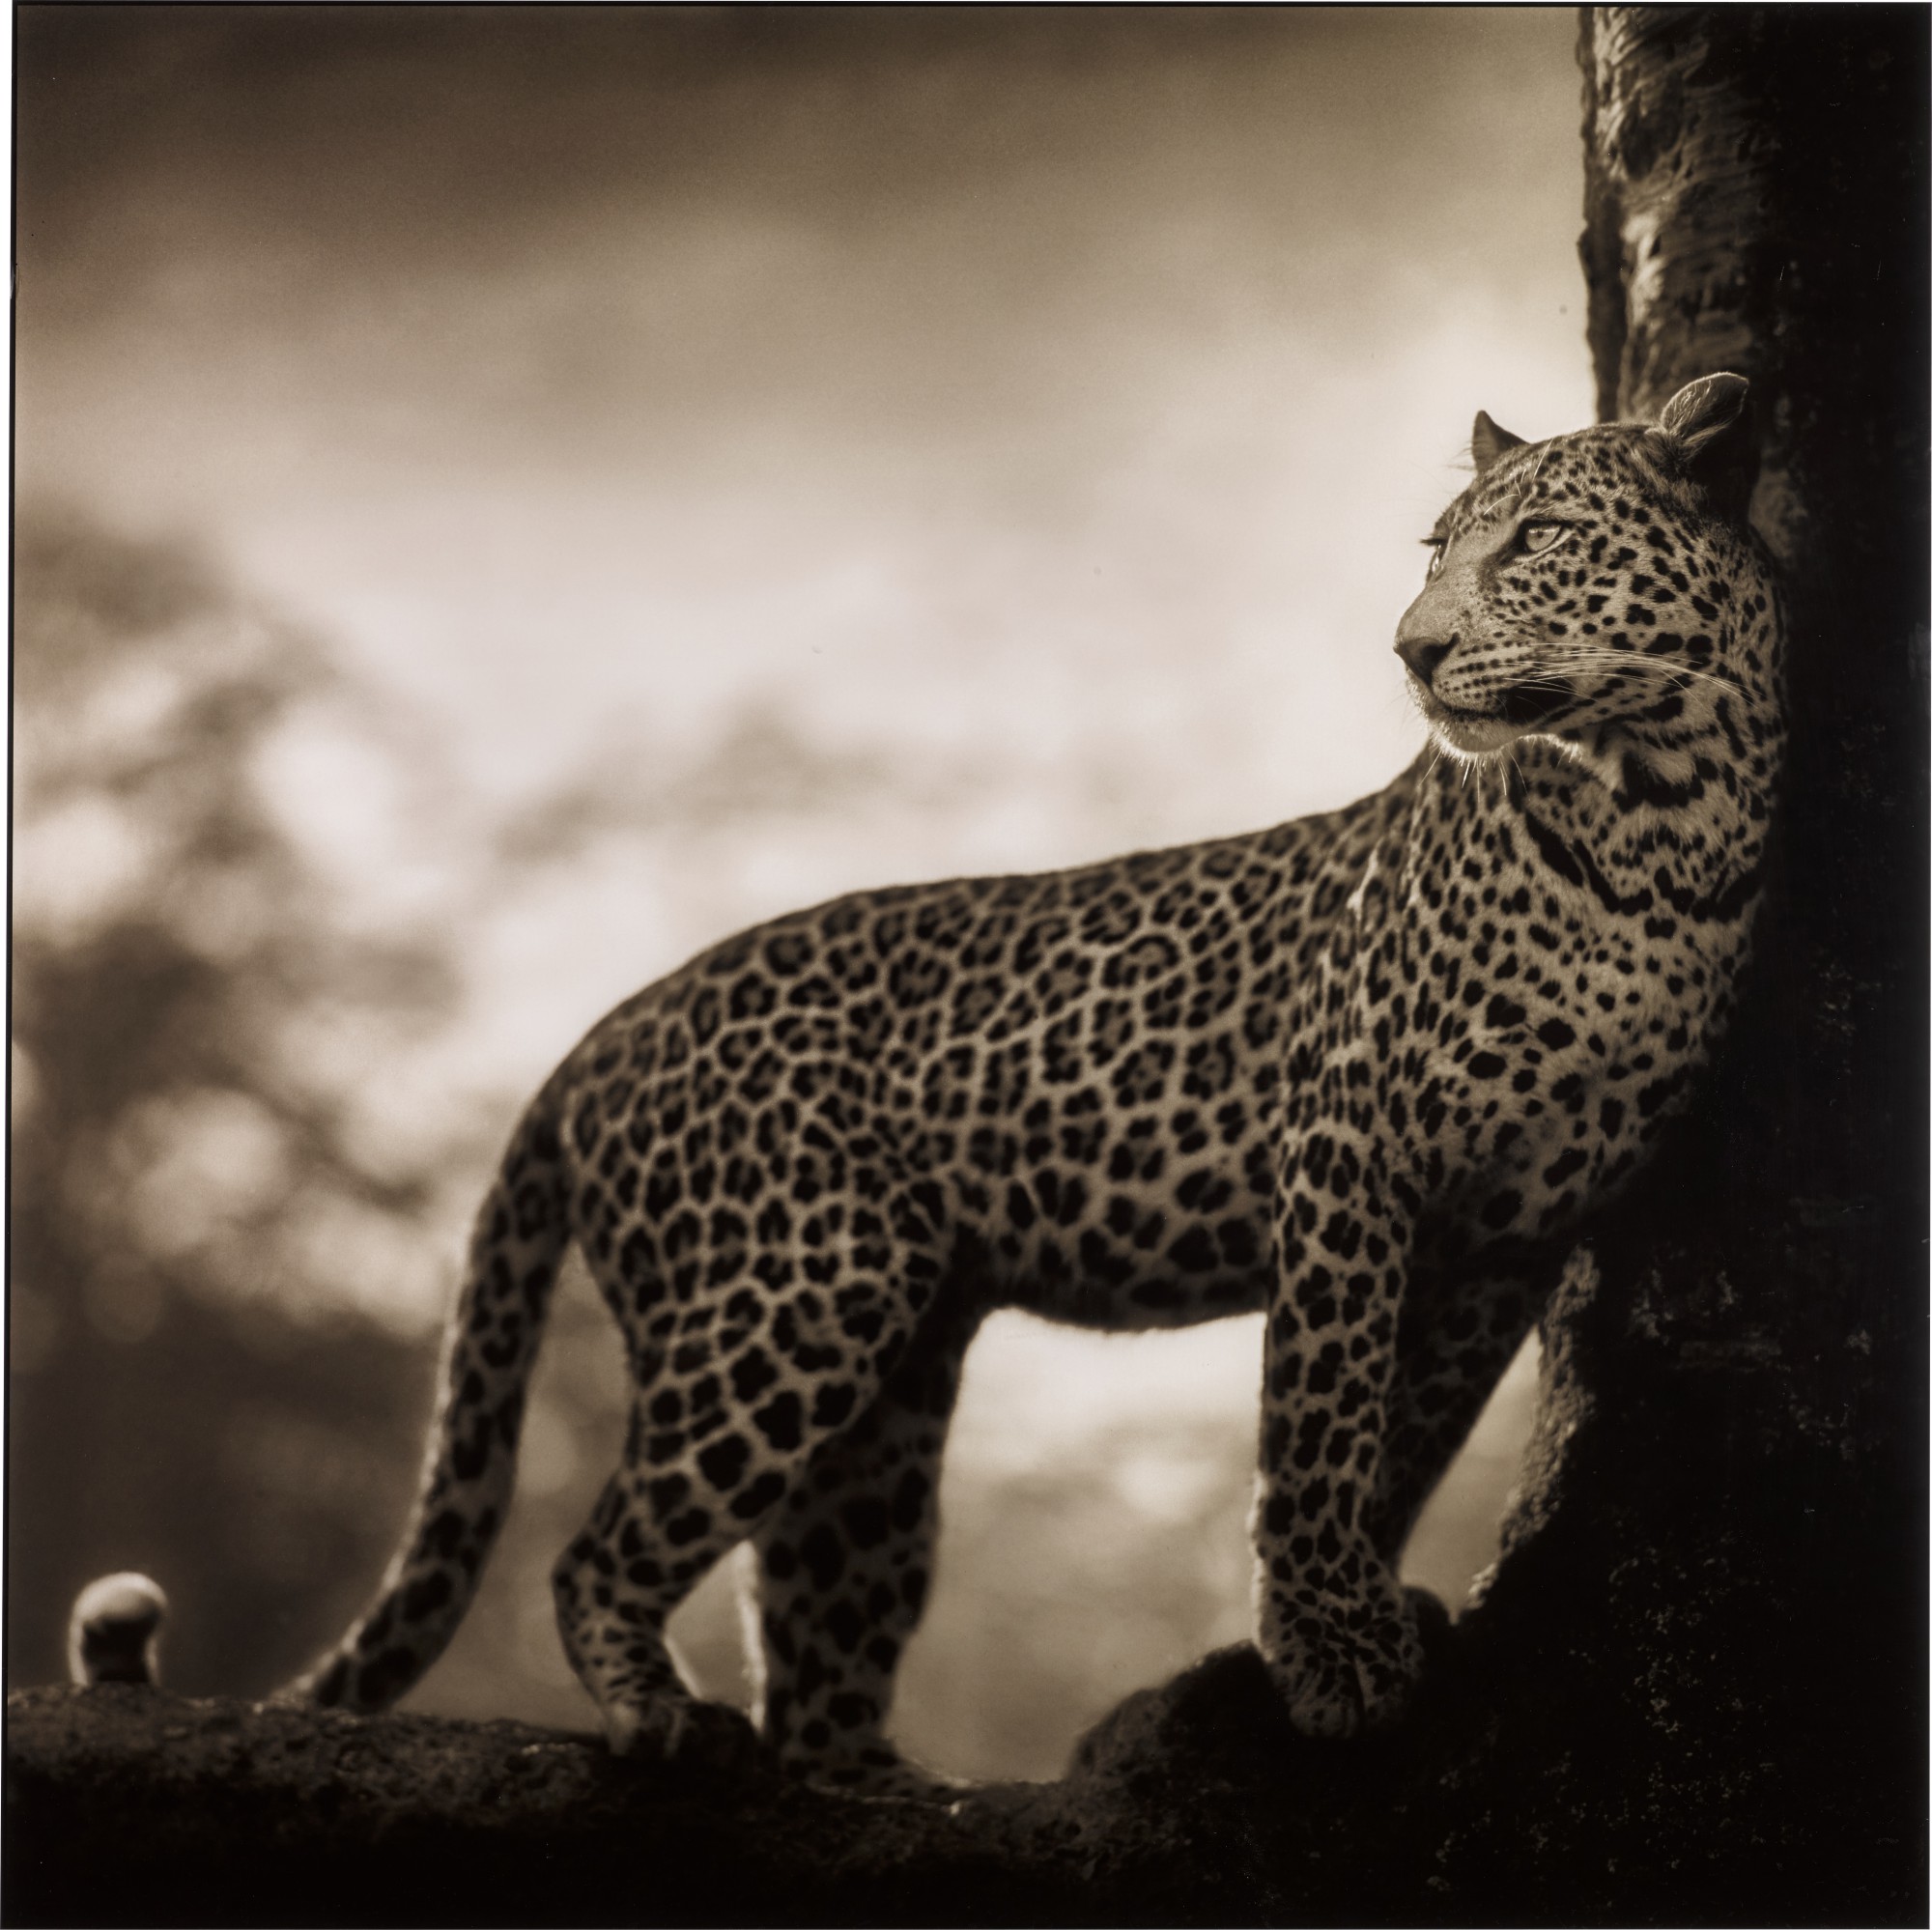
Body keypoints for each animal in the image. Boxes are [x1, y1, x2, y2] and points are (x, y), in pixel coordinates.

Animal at [269, 373, 1781, 1795]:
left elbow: (1406, 1429)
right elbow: (1320, 1415)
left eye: (1542, 538)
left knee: (819, 1619)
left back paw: (876, 1781)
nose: (1413, 649)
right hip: (790, 1294)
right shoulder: (1349, 1153)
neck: (1661, 825)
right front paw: (1326, 1651)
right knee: (597, 1550)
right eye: (1438, 547)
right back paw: (661, 1717)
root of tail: (603, 1030)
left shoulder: (1514, 1229)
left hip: (886, 1387)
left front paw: (1362, 1602)